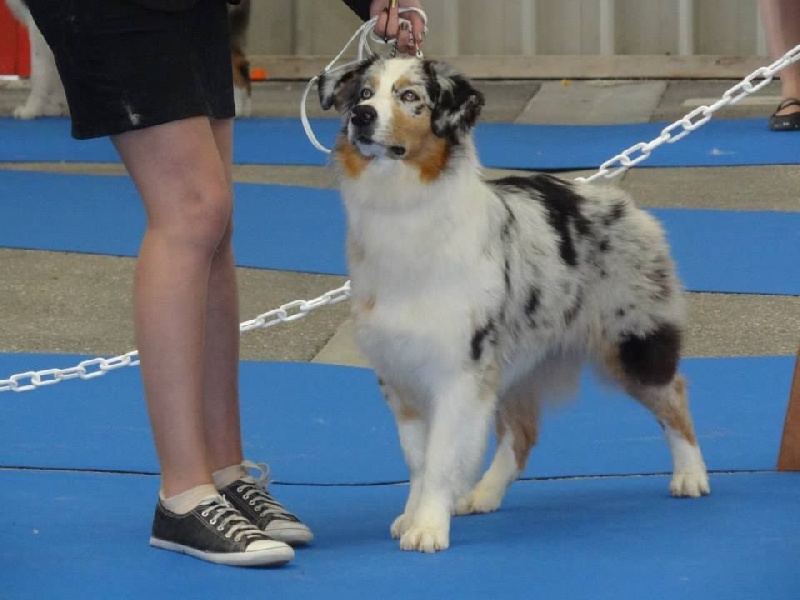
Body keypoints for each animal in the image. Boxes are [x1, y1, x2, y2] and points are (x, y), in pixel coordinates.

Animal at [318, 56, 711, 553]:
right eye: (364, 94)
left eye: (410, 97)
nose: (362, 117)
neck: (402, 207)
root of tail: (619, 200)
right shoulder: (399, 373)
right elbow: (418, 459)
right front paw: (413, 516)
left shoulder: (460, 370)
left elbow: (442, 456)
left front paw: (428, 527)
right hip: (517, 361)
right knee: (521, 435)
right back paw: (483, 494)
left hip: (632, 339)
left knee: (673, 392)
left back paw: (691, 476)